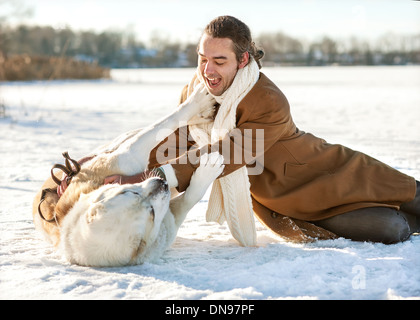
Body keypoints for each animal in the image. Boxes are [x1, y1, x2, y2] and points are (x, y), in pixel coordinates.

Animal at [33, 84, 225, 266]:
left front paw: (199, 102)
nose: (161, 183)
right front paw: (209, 168)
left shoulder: (124, 157)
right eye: (151, 213)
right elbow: (191, 196)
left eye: (127, 192)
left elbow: (166, 122)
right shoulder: (168, 218)